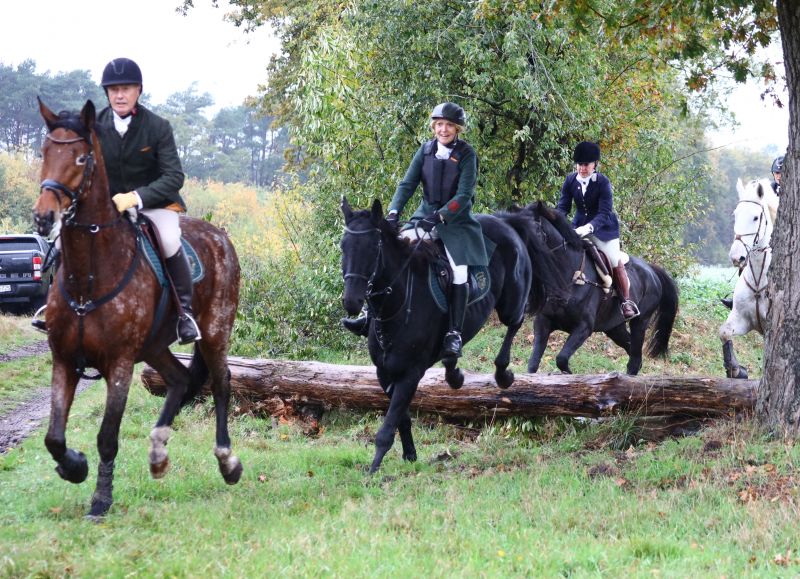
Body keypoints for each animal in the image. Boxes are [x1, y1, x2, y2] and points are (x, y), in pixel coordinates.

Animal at [33, 99, 242, 518]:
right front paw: (73, 466)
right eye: (45, 152)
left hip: (215, 331)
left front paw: (100, 499)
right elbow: (53, 437)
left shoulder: (120, 363)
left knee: (221, 382)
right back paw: (158, 453)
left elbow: (107, 436)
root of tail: (221, 237)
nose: (44, 217)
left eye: (81, 158)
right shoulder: (64, 359)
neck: (89, 275)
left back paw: (228, 462)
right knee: (181, 379)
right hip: (155, 345)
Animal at [340, 198, 533, 473]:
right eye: (343, 247)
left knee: (515, 323)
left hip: (511, 302)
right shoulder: (384, 371)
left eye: (373, 248)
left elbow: (388, 426)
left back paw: (502, 374)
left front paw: (373, 469)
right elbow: (401, 417)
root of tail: (504, 221)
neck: (397, 304)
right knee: (455, 352)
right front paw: (410, 454)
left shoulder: (411, 373)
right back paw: (454, 371)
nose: (351, 302)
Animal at [501, 201, 679, 375]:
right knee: (632, 350)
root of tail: (651, 270)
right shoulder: (543, 322)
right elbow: (533, 364)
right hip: (614, 327)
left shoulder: (584, 327)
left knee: (635, 355)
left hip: (640, 322)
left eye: (531, 229)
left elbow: (561, 359)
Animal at [719, 178, 776, 379]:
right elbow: (724, 332)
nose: (737, 257)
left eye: (755, 217)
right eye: (735, 215)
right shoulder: (742, 320)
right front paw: (736, 370)